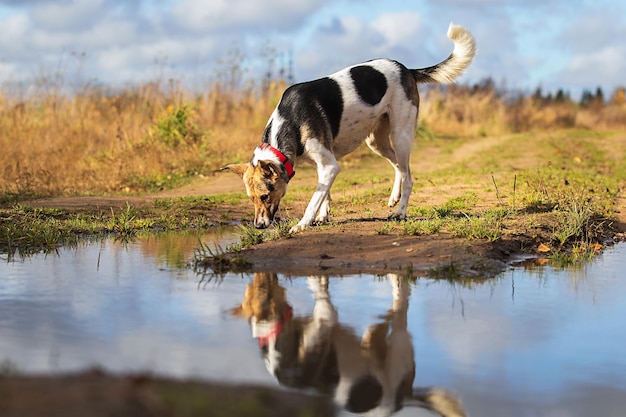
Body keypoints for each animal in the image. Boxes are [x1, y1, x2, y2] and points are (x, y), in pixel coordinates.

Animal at [223, 22, 472, 232]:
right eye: (250, 198)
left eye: (265, 196)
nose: (259, 226)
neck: (289, 121)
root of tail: (406, 69)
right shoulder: (323, 164)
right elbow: (324, 193)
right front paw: (323, 215)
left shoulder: (329, 166)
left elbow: (314, 199)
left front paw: (303, 223)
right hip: (376, 141)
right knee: (399, 167)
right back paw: (394, 197)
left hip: (400, 134)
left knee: (409, 176)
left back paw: (400, 212)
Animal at [229, 272, 464, 414]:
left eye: (261, 288)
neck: (272, 336)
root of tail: (404, 399)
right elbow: (319, 287)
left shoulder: (326, 316)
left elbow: (319, 292)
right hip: (377, 346)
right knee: (389, 319)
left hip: (397, 350)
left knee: (401, 309)